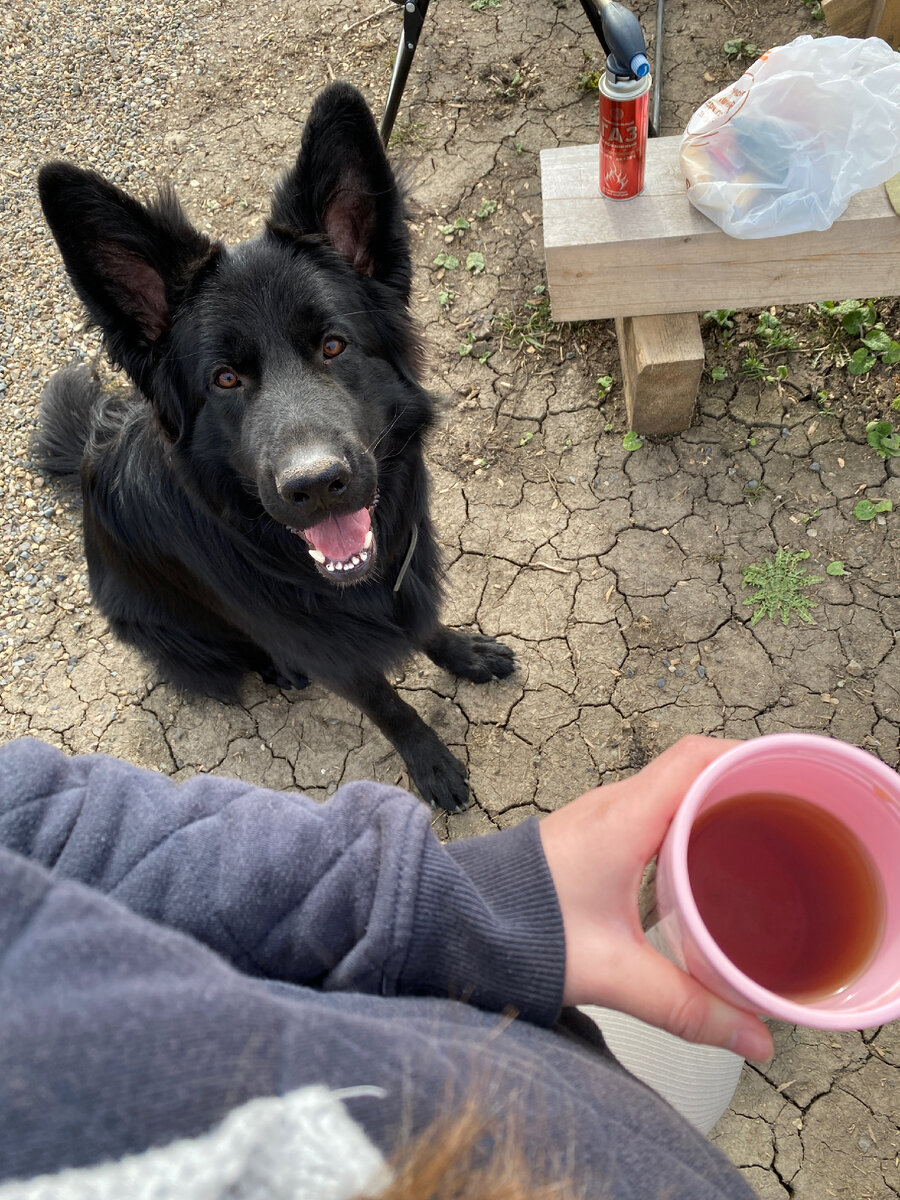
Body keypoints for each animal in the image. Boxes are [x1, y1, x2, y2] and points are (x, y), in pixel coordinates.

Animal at [35, 84, 518, 811]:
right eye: (225, 379)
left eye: (334, 345)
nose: (315, 485)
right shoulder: (327, 649)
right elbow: (389, 705)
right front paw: (429, 761)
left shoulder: (402, 569)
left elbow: (425, 625)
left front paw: (465, 656)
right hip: (175, 632)